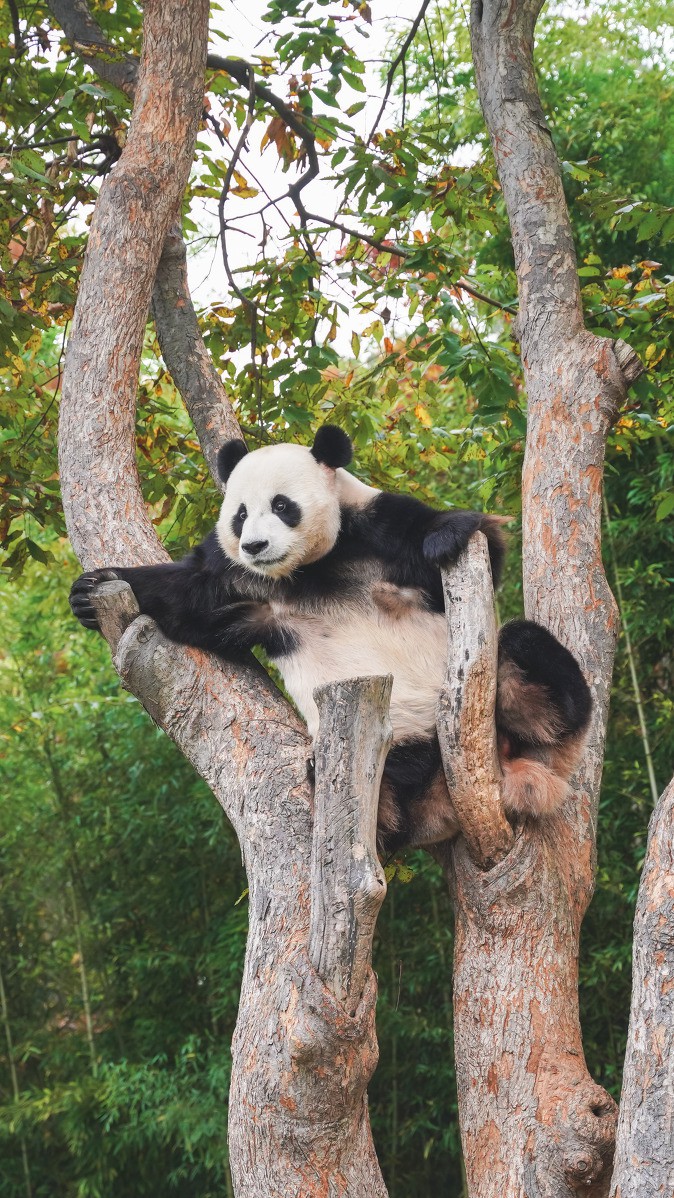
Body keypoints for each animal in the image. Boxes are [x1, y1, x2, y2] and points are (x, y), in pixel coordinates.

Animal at [70, 425, 592, 855]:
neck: (311, 567)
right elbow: (185, 596)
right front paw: (92, 590)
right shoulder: (237, 579)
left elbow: (480, 547)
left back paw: (545, 714)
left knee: (527, 654)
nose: (254, 546)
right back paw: (386, 815)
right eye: (240, 514)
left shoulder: (378, 523)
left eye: (282, 505)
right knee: (372, 779)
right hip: (399, 748)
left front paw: (447, 536)